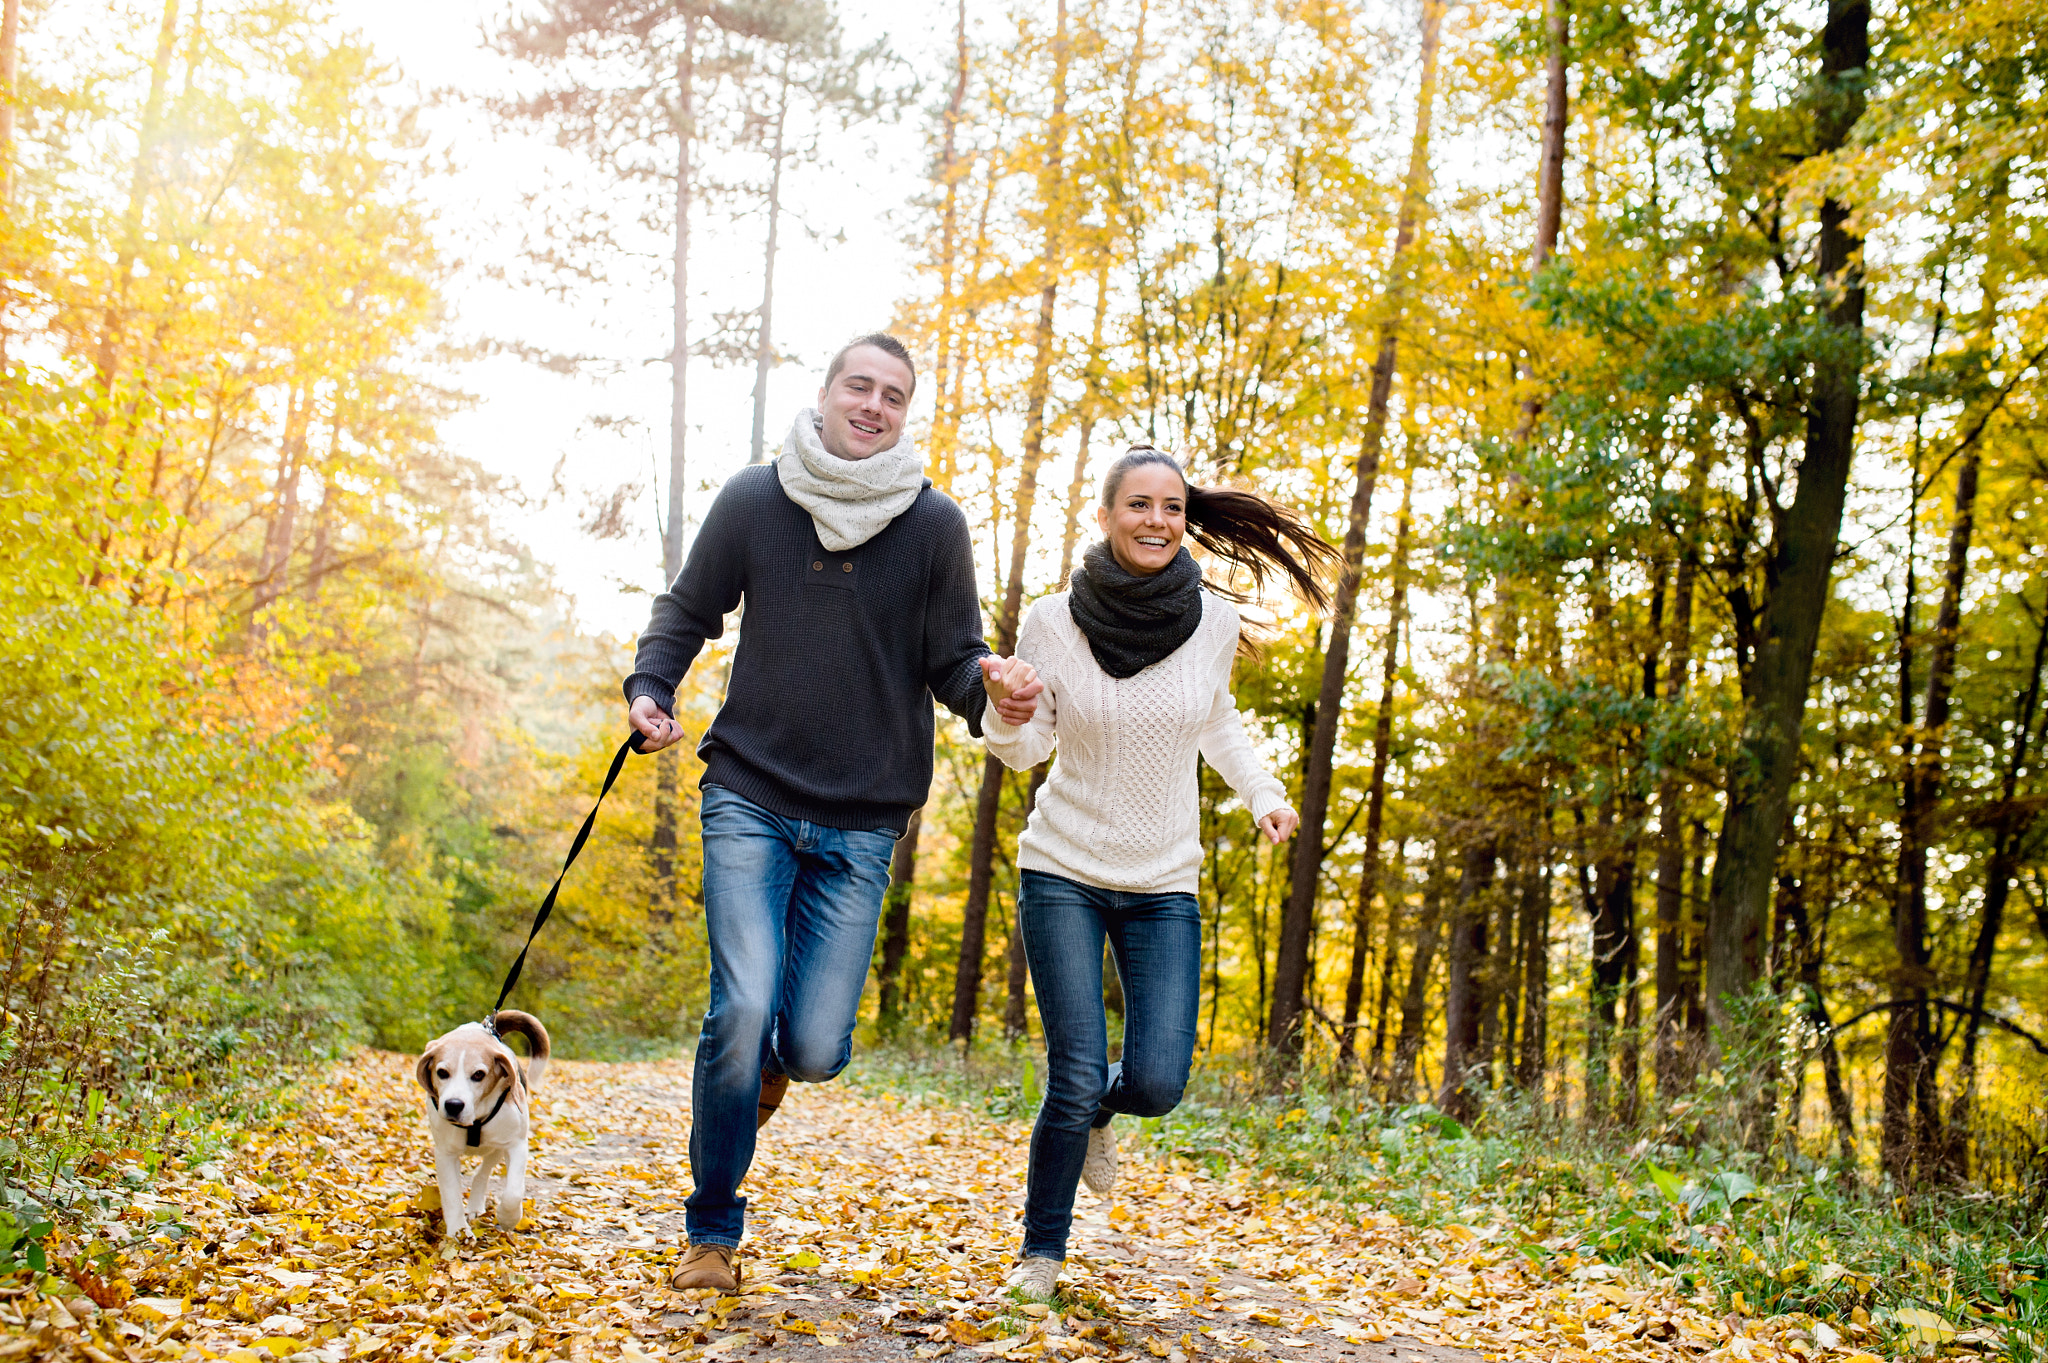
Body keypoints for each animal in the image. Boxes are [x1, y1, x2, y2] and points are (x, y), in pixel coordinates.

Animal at [415, 1006, 548, 1227]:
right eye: (442, 1072)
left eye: (478, 1074)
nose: (453, 1105)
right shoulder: (445, 1153)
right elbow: (452, 1198)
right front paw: (458, 1232)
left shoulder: (516, 1144)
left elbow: (513, 1193)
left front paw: (508, 1218)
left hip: (496, 1148)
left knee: (482, 1173)